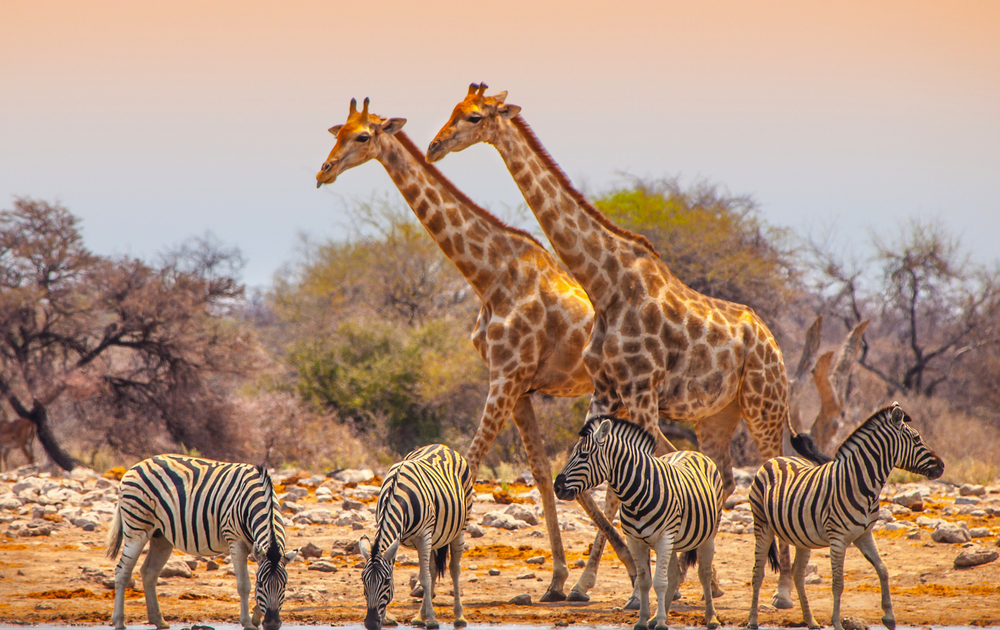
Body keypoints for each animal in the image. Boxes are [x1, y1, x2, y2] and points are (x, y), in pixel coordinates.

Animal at [106, 454, 296, 630]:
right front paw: (248, 623)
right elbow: (244, 585)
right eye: (261, 584)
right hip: (137, 527)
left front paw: (256, 618)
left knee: (149, 572)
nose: (272, 624)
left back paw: (159, 620)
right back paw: (119, 621)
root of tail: (137, 465)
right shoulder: (236, 541)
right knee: (122, 571)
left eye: (284, 585)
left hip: (161, 536)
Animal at [359, 443, 474, 630]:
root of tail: (442, 446)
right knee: (433, 569)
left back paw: (459, 617)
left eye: (386, 581)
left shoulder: (423, 536)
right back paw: (420, 616)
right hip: (435, 537)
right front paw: (387, 618)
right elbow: (425, 575)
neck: (397, 493)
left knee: (454, 569)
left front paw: (432, 620)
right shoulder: (396, 536)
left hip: (460, 527)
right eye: (363, 581)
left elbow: (424, 578)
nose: (370, 623)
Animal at [554, 417, 724, 630]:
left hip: (707, 535)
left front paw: (661, 624)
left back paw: (711, 618)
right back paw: (657, 617)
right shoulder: (635, 541)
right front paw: (644, 620)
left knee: (704, 573)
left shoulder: (664, 538)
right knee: (674, 574)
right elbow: (645, 582)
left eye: (583, 455)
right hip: (675, 540)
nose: (557, 487)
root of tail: (692, 451)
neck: (636, 496)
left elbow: (659, 582)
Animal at [747, 403, 945, 630]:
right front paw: (837, 622)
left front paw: (889, 616)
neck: (861, 484)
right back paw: (752, 620)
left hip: (801, 536)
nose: (942, 465)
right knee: (758, 572)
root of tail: (777, 458)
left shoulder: (864, 534)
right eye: (917, 439)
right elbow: (838, 583)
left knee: (798, 574)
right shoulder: (838, 538)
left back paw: (811, 621)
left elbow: (883, 569)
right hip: (762, 525)